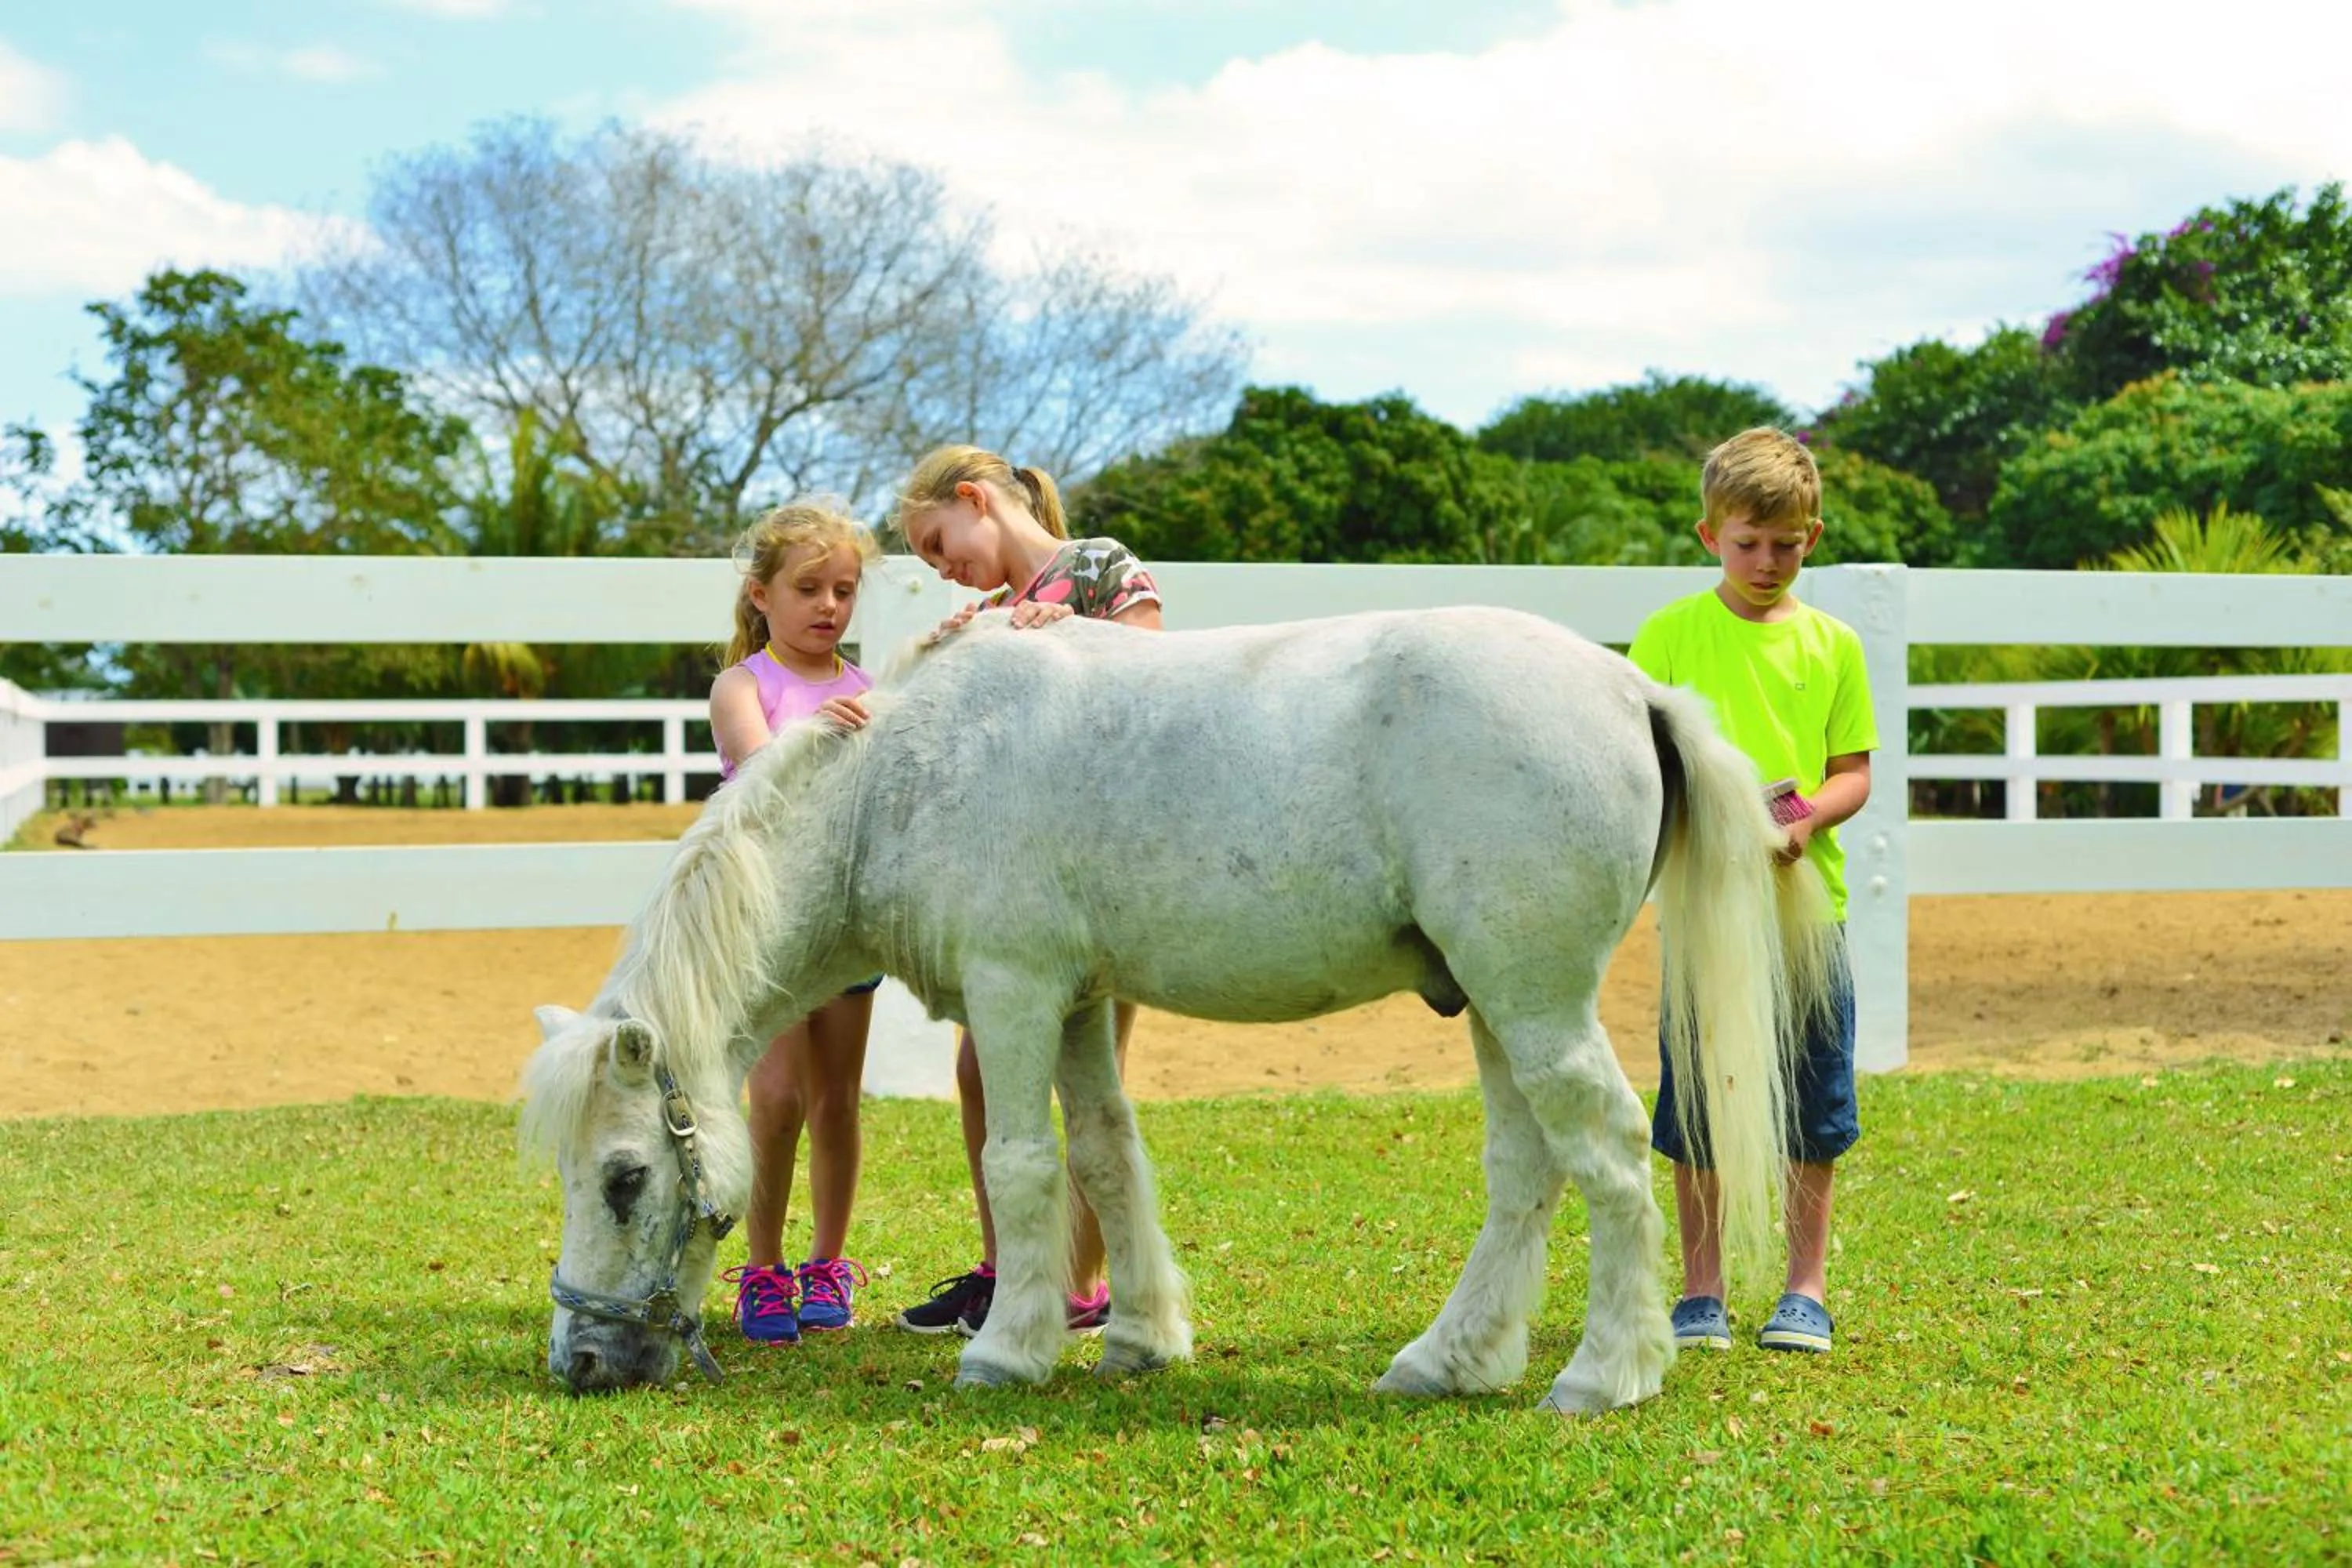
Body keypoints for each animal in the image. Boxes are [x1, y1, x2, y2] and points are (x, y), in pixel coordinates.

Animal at [519, 605, 1839, 1411]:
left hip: (1535, 1004)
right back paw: (1448, 1359)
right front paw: (1142, 1337)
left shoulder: (1012, 991)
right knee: (1525, 1174)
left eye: (625, 1179)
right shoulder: (1076, 1005)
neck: (903, 774)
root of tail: (1630, 688)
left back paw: (1606, 1373)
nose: (580, 1360)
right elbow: (1107, 1157)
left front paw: (1008, 1349)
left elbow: (1021, 1166)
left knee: (1609, 1156)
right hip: (1494, 1010)